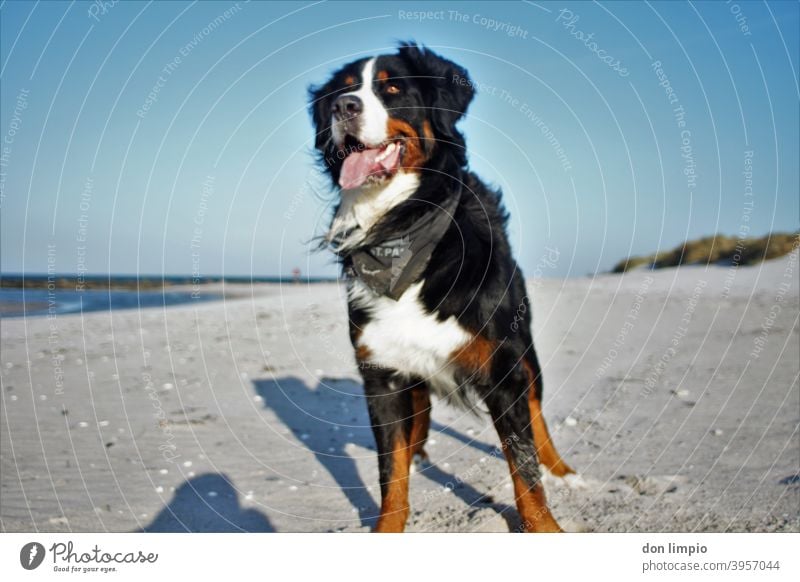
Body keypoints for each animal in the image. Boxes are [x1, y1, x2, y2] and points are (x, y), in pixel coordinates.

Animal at [308, 41, 576, 532]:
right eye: (341, 90)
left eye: (393, 88)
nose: (343, 107)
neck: (403, 222)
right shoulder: (382, 375)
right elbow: (390, 473)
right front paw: (387, 528)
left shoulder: (503, 368)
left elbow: (525, 470)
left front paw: (546, 528)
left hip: (525, 349)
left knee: (537, 414)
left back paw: (564, 472)